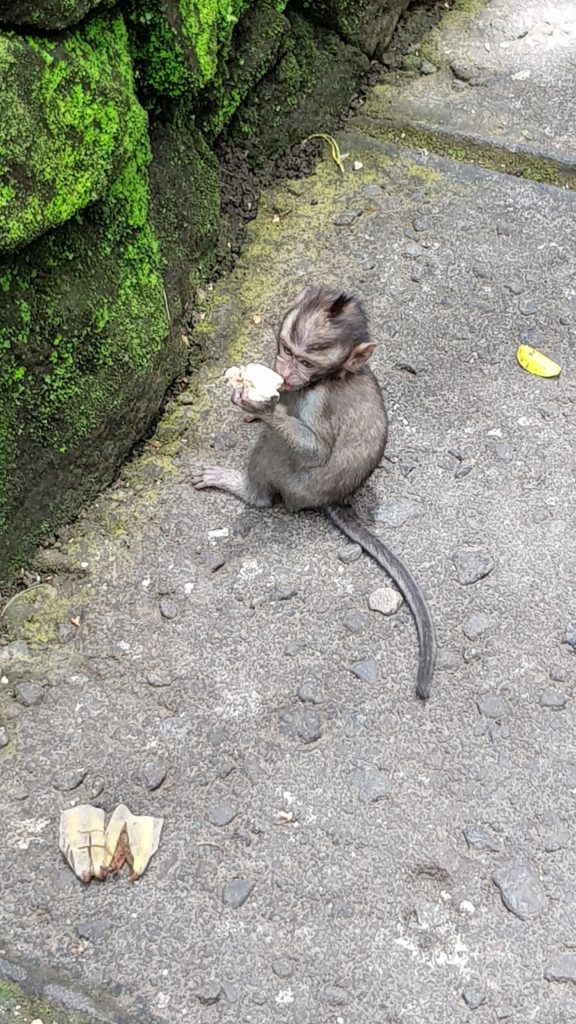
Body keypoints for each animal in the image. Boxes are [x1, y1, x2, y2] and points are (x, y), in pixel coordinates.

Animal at [192, 284, 434, 700]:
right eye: (287, 350)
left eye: (306, 362)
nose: (285, 371)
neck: (327, 379)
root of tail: (336, 498)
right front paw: (253, 403)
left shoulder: (317, 401)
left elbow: (314, 449)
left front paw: (262, 408)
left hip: (298, 487)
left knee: (275, 449)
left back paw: (247, 488)